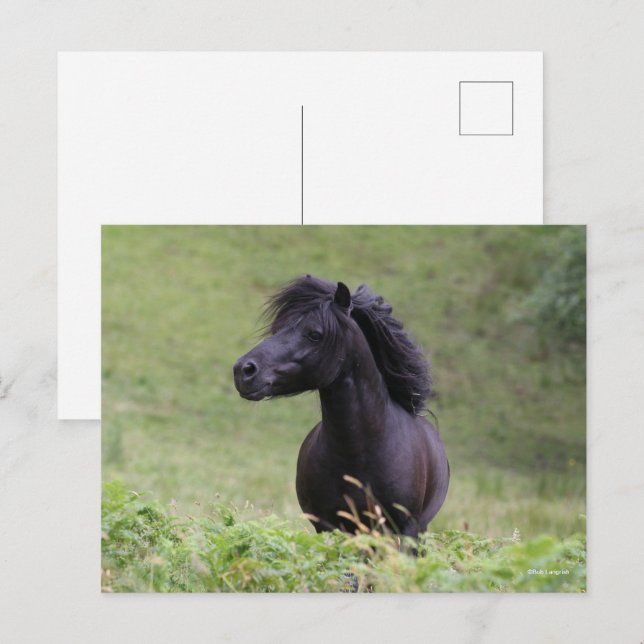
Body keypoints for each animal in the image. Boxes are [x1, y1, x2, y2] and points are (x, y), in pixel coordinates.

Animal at [233, 275, 449, 539]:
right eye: (278, 329)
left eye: (315, 334)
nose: (243, 370)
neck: (360, 453)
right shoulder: (327, 526)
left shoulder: (406, 529)